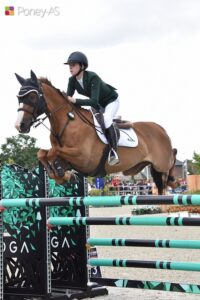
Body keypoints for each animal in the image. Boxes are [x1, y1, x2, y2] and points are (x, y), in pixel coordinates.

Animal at [15, 72, 178, 196]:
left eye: (32, 97)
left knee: (173, 156)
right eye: (18, 98)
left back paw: (173, 181)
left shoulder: (83, 158)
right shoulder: (70, 159)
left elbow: (52, 152)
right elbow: (43, 153)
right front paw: (62, 175)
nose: (19, 126)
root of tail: (161, 129)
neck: (68, 121)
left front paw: (62, 174)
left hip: (161, 163)